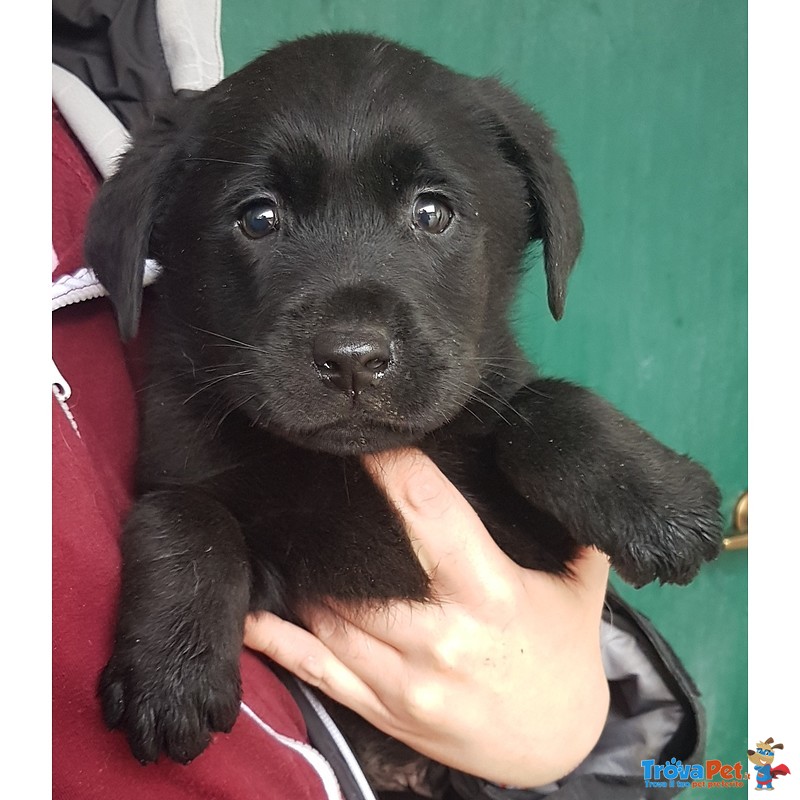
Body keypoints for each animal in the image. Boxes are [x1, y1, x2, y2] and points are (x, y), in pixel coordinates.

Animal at [84, 32, 720, 792]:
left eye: (432, 212)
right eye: (258, 218)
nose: (353, 358)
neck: (353, 464)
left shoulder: (536, 544)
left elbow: (542, 404)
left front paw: (659, 501)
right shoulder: (205, 492)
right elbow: (182, 513)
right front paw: (170, 673)